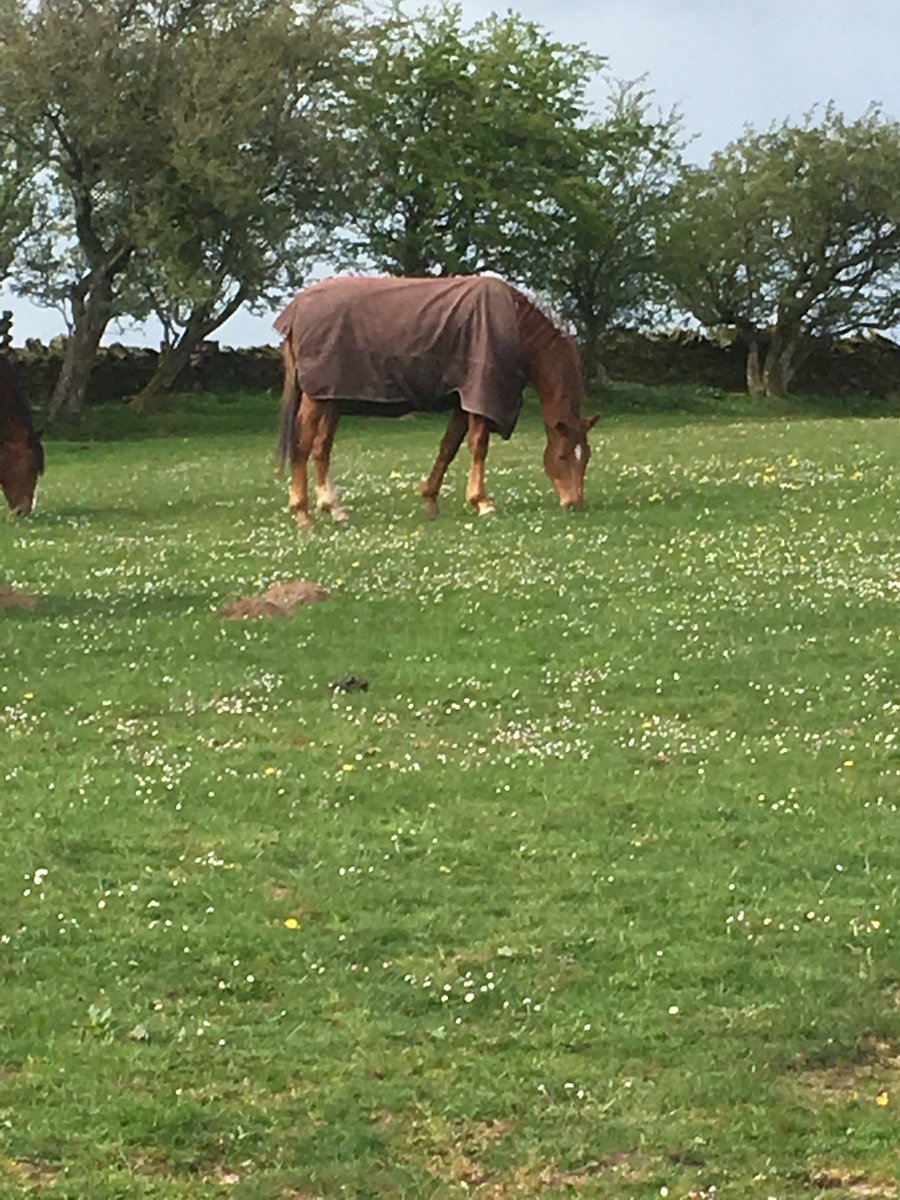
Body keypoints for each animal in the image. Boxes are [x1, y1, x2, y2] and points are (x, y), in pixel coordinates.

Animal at [274, 275, 598, 528]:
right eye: (563, 456)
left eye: (586, 457)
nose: (575, 503)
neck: (515, 327)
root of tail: (298, 310)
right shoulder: (480, 398)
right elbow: (479, 446)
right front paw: (482, 502)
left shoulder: (464, 402)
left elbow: (448, 447)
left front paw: (431, 499)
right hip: (318, 399)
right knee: (302, 445)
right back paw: (302, 512)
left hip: (332, 398)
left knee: (321, 449)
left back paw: (334, 509)